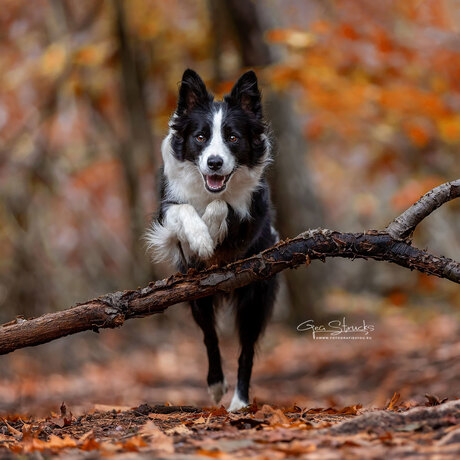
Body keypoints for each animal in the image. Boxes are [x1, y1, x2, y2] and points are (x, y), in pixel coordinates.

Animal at [146, 70, 278, 412]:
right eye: (200, 137)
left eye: (232, 137)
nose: (215, 163)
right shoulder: (166, 211)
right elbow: (184, 211)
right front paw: (202, 239)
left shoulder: (253, 217)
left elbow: (223, 207)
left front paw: (212, 229)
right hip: (196, 297)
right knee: (210, 337)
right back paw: (216, 384)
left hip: (255, 297)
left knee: (246, 352)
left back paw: (239, 403)